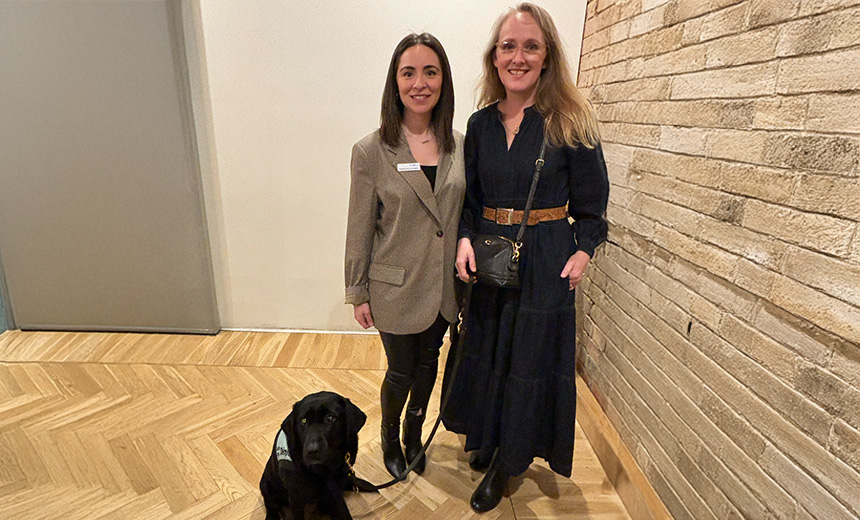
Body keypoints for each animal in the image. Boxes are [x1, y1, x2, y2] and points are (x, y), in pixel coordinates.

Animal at [258, 392, 372, 520]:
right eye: (303, 421)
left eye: (330, 418)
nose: (312, 450)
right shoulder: (295, 497)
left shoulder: (336, 488)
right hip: (267, 485)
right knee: (270, 504)